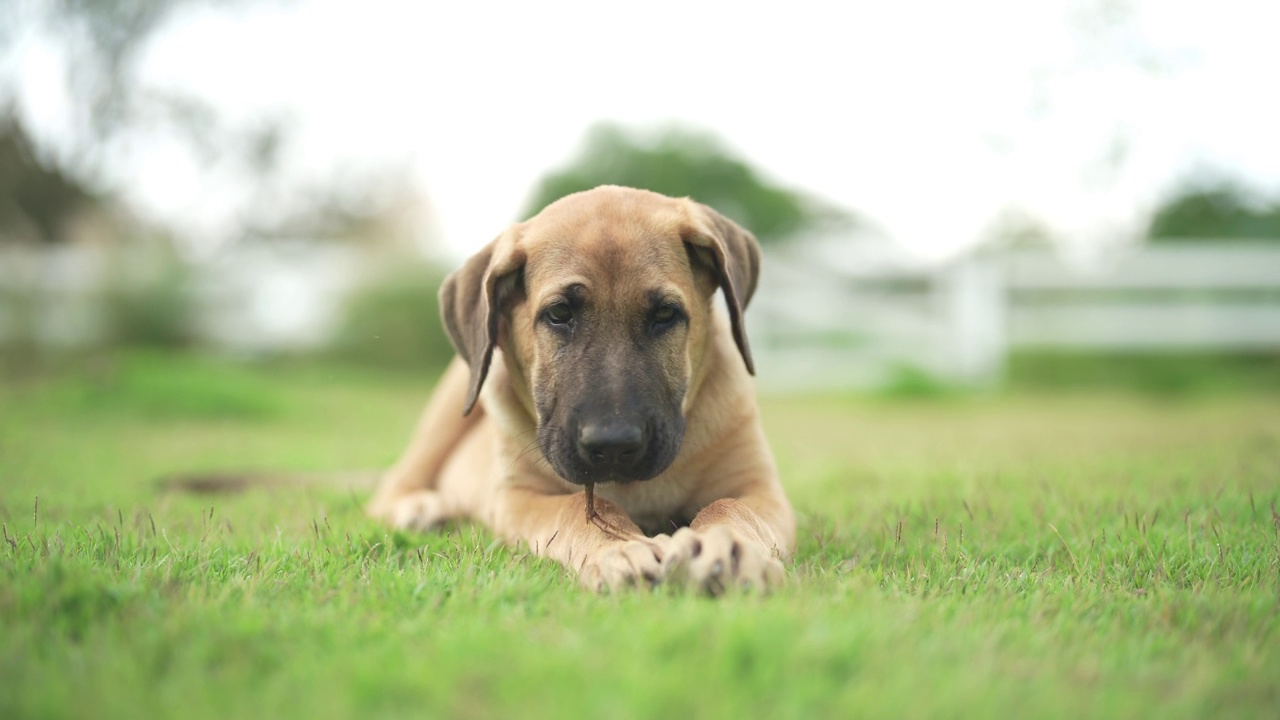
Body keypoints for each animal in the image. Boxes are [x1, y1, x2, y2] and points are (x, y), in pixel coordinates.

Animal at [366, 185, 793, 594]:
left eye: (665, 315)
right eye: (559, 314)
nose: (614, 444)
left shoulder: (759, 487)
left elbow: (731, 508)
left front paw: (729, 549)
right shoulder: (517, 496)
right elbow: (577, 507)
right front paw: (622, 549)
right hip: (451, 403)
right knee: (393, 485)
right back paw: (422, 508)